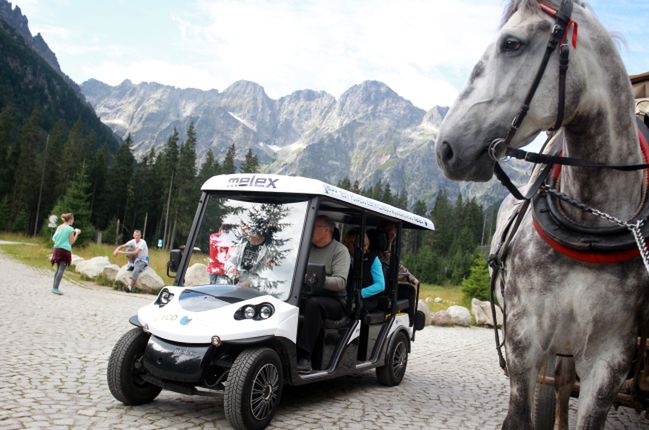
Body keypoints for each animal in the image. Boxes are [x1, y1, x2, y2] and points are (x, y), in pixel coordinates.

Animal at [436, 0, 648, 430]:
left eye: (511, 44)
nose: (445, 148)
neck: (590, 226)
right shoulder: (525, 339)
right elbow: (520, 416)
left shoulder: (610, 356)